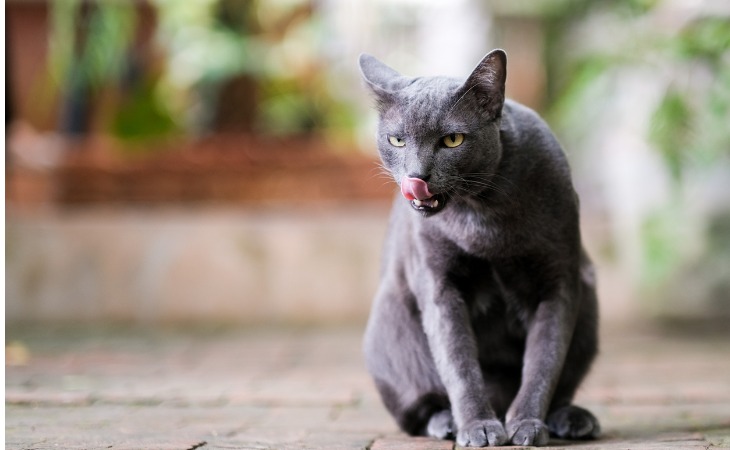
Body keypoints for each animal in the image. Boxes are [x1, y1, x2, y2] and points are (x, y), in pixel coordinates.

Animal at [356, 49, 596, 446]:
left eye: (453, 140)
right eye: (397, 141)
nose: (417, 176)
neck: (482, 213)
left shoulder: (558, 279)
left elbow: (544, 360)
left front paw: (527, 424)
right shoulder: (439, 284)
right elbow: (458, 363)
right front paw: (478, 427)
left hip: (589, 298)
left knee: (562, 385)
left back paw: (573, 419)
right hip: (389, 324)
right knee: (418, 409)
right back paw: (446, 422)